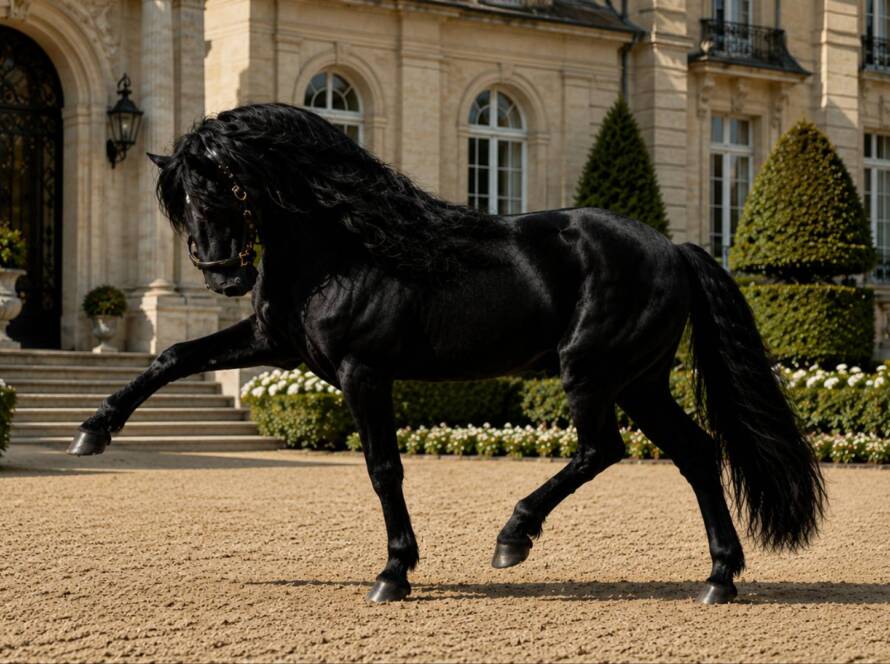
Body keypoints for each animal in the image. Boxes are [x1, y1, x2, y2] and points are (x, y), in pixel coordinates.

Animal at [69, 102, 825, 605]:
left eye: (229, 186)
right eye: (180, 201)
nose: (225, 275)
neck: (345, 248)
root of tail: (673, 246)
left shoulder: (363, 374)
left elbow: (383, 470)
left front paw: (393, 574)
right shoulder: (275, 342)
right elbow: (173, 356)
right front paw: (93, 432)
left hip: (592, 372)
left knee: (600, 449)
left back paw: (513, 537)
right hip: (639, 381)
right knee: (696, 453)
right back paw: (719, 577)